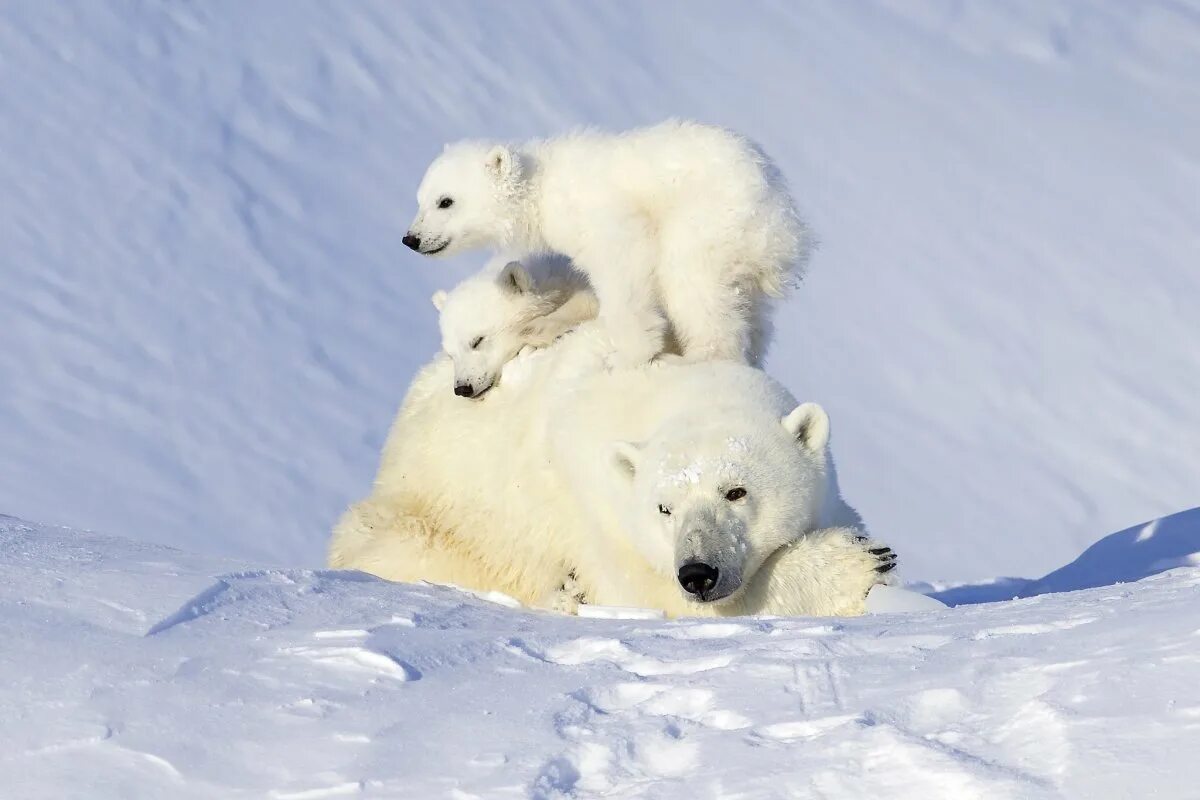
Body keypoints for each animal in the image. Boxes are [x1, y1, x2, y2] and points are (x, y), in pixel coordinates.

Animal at [328, 326, 892, 618]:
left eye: (736, 491)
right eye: (664, 507)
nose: (698, 573)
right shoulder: (600, 511)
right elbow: (655, 594)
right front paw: (861, 563)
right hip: (422, 520)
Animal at [400, 119, 806, 369]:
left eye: (446, 201)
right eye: (420, 200)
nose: (411, 239)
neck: (545, 188)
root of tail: (785, 225)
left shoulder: (607, 217)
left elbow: (624, 269)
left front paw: (626, 356)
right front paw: (544, 326)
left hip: (705, 223)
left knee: (693, 287)